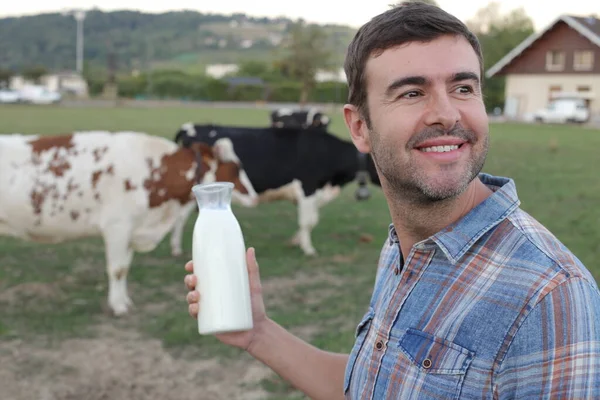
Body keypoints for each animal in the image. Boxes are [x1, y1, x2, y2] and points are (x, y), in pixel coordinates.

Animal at [0, 132, 255, 316]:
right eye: (236, 168)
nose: (255, 197)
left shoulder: (132, 231)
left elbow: (125, 268)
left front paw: (124, 300)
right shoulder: (117, 226)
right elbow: (117, 269)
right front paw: (118, 307)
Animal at [173, 120, 380, 256]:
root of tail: (190, 126)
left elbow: (311, 220)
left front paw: (296, 240)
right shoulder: (308, 188)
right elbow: (308, 221)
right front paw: (308, 248)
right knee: (180, 217)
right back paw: (176, 248)